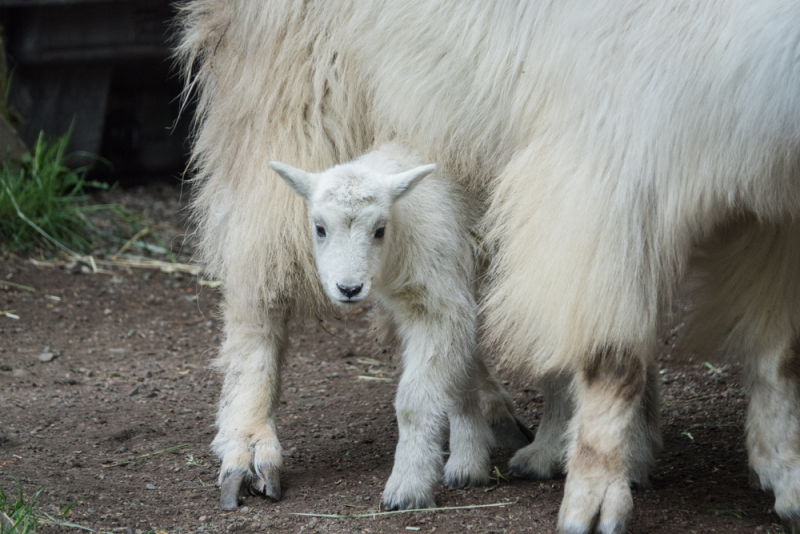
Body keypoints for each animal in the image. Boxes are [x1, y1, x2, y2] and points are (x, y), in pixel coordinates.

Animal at [178, 2, 800, 532]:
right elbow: (610, 354)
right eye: (322, 229)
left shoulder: (772, 209)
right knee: (258, 271)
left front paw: (785, 477)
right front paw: (594, 500)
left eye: (379, 229)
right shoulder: (609, 162)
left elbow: (780, 354)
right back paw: (249, 449)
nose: (350, 286)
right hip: (289, 77)